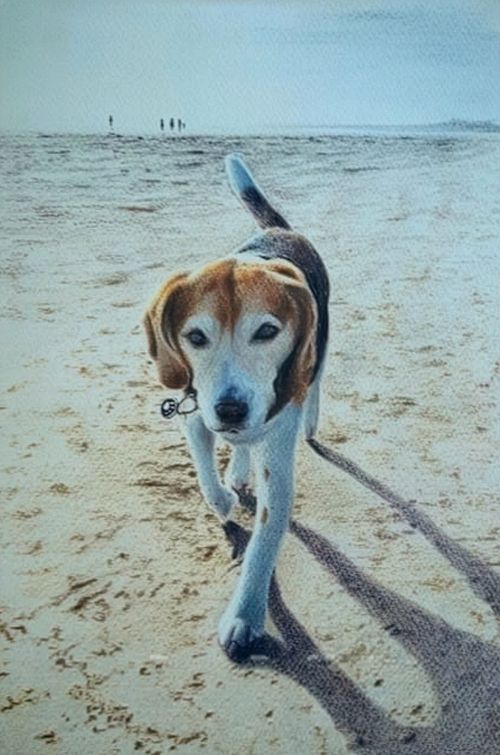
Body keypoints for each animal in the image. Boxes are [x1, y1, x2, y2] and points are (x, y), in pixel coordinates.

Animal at [143, 154, 330, 659]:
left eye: (266, 331)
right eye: (195, 337)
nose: (230, 410)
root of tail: (283, 230)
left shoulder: (277, 461)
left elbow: (264, 543)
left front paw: (244, 617)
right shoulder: (194, 413)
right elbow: (205, 476)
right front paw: (224, 498)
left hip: (319, 352)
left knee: (316, 381)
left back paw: (309, 421)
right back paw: (237, 469)